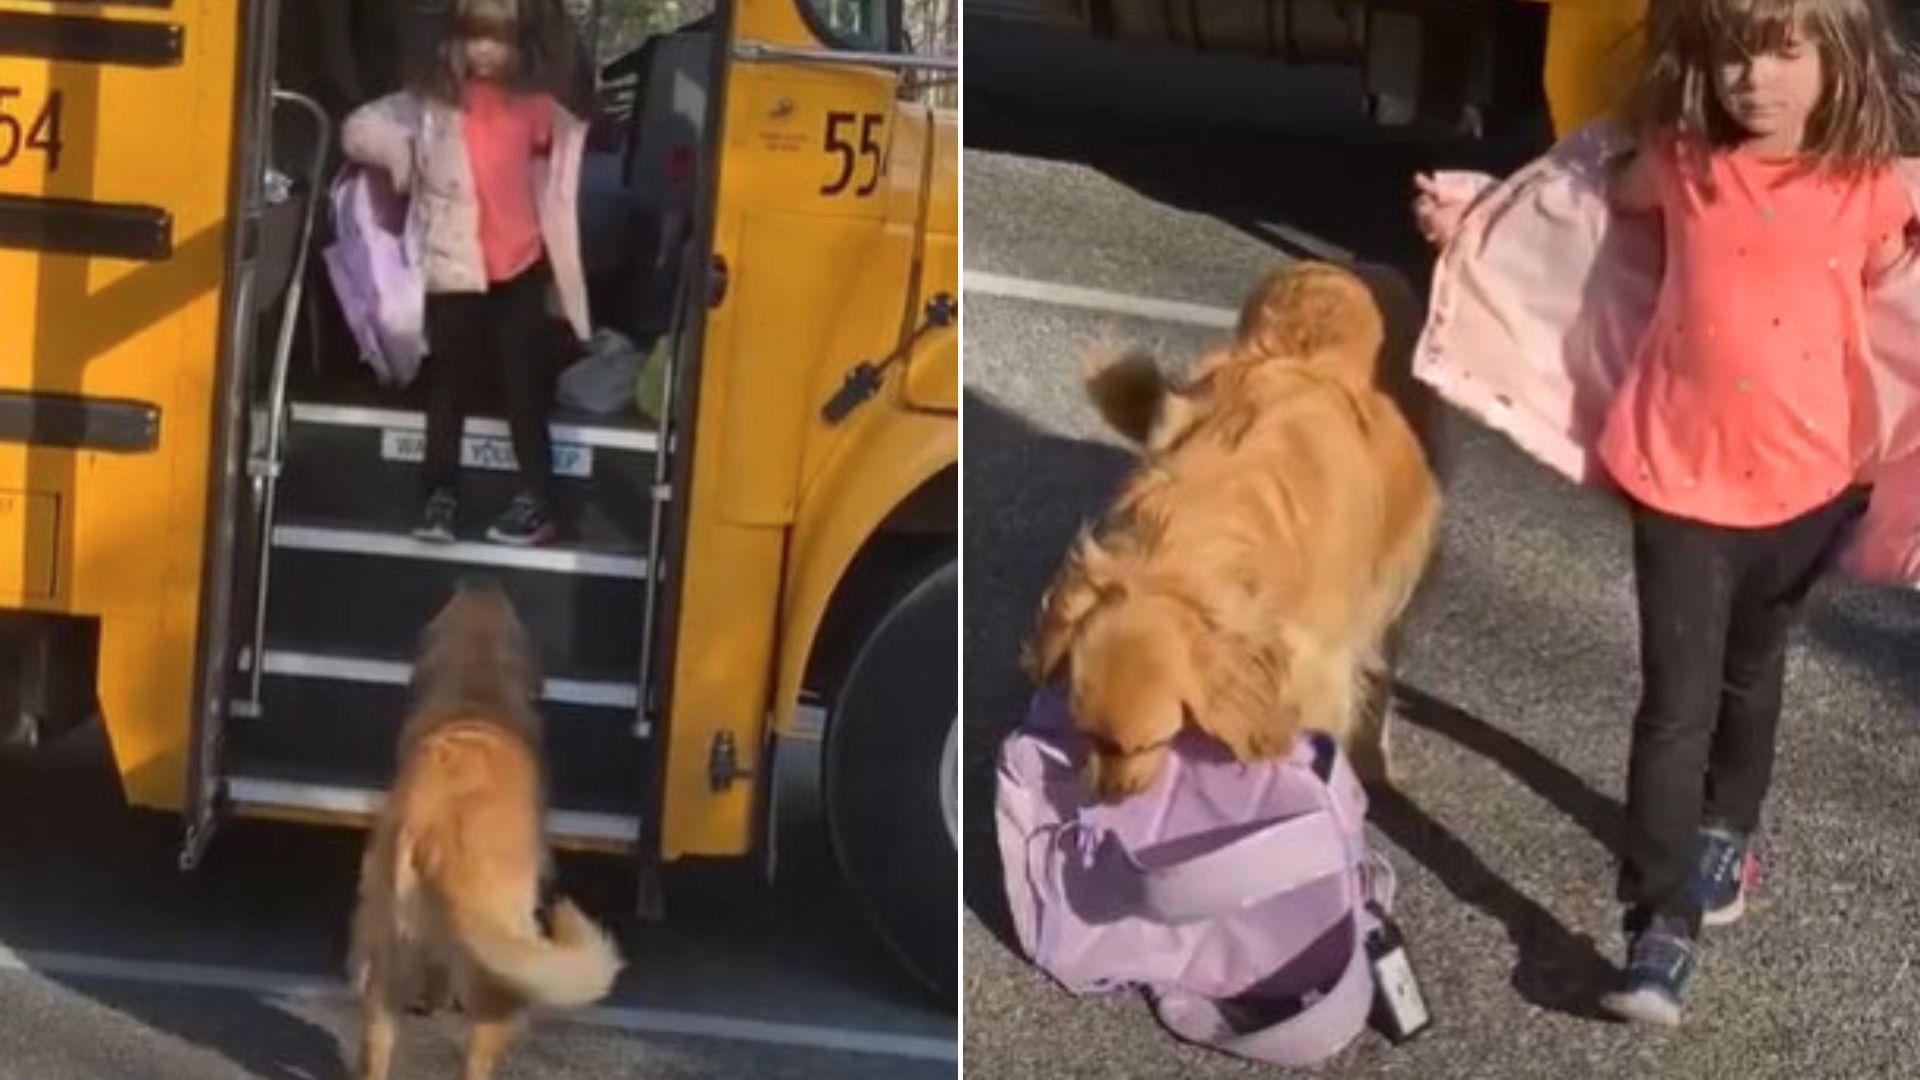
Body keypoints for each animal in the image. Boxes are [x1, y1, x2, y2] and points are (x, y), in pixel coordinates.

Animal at [351, 580, 622, 1076]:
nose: (480, 580)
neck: (477, 694)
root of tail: (430, 836)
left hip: (390, 946)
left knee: (376, 1037)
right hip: (498, 955)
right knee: (478, 1050)